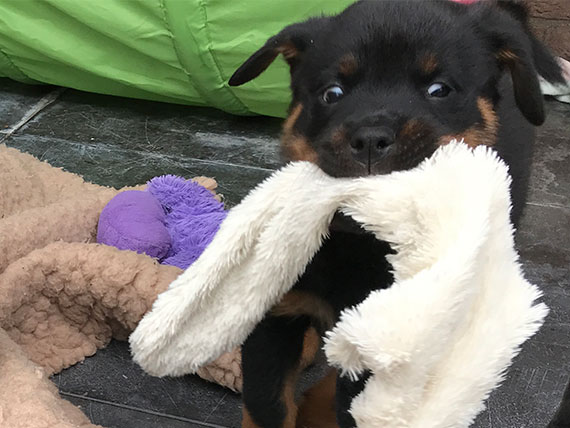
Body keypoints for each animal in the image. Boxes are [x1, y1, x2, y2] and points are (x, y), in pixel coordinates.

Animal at [227, 1, 564, 426]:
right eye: (332, 93)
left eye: (439, 90)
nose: (371, 139)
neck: (361, 245)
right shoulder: (276, 317)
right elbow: (266, 404)